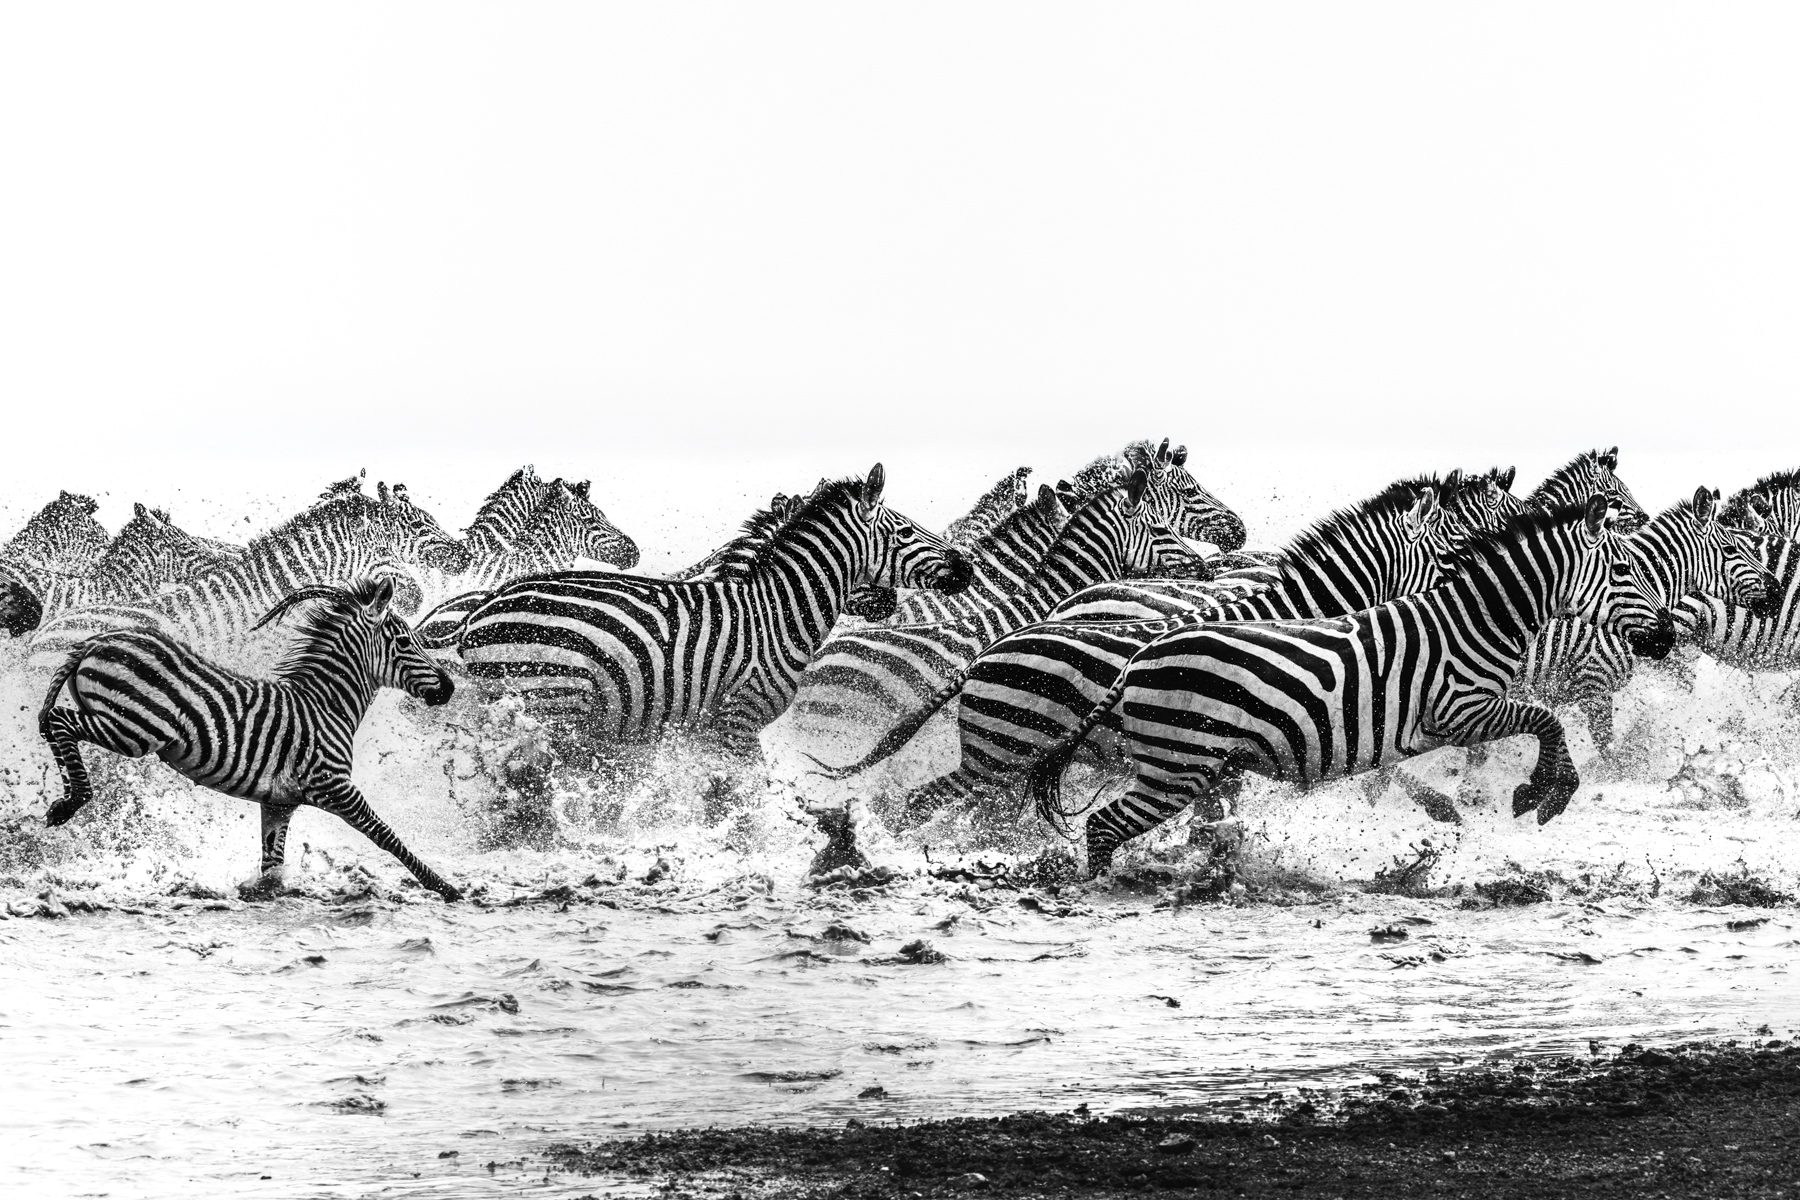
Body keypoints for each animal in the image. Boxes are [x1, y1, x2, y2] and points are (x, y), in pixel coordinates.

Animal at [38, 576, 462, 900]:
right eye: (405, 642)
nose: (449, 688)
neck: (327, 705)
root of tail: (100, 639)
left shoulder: (278, 804)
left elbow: (272, 866)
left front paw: (259, 895)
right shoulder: (335, 785)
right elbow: (388, 836)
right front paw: (446, 889)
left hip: (122, 722)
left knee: (55, 726)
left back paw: (64, 800)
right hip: (135, 729)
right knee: (59, 721)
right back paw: (73, 800)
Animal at [454, 465, 973, 752]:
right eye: (904, 532)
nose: (965, 567)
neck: (778, 611)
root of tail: (481, 610)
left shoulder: (699, 731)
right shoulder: (738, 718)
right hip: (552, 701)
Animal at [1025, 499, 1669, 877]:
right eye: (1622, 570)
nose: (1665, 637)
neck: (1475, 620)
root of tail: (1139, 657)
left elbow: (1539, 723)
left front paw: (1541, 790)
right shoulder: (1456, 711)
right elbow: (1546, 719)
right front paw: (1545, 794)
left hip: (1199, 765)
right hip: (1176, 765)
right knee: (1104, 826)